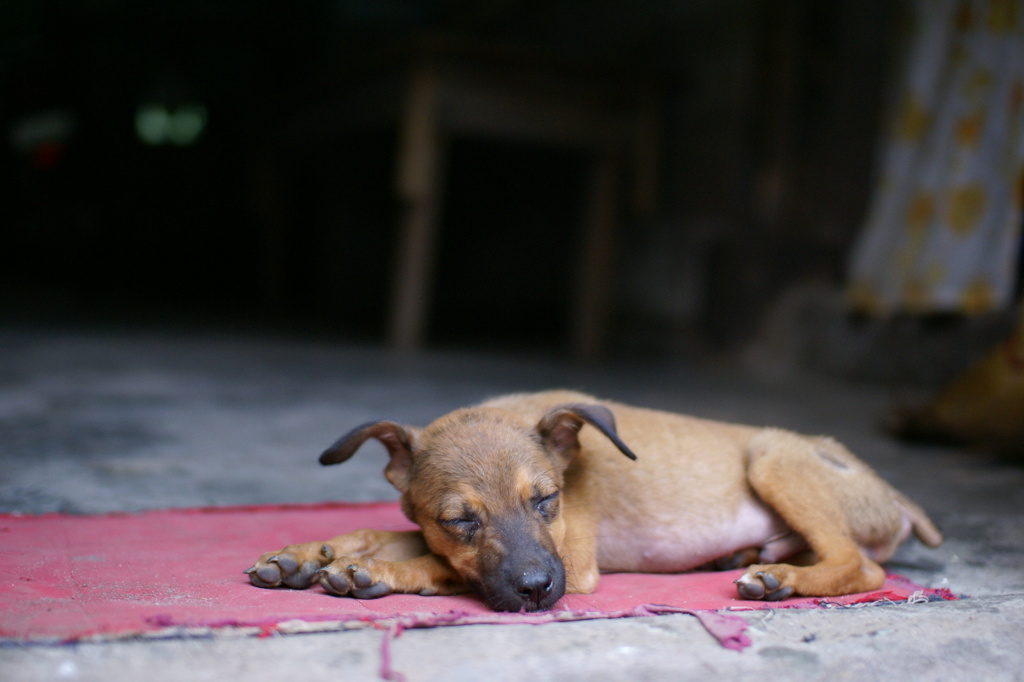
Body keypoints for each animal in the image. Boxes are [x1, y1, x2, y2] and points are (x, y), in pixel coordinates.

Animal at [243, 391, 937, 606]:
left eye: (548, 500)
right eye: (460, 519)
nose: (535, 592)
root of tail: (894, 494)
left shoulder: (572, 561)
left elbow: (435, 564)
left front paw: (374, 571)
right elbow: (396, 534)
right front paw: (304, 554)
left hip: (773, 457)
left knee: (860, 566)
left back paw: (782, 580)